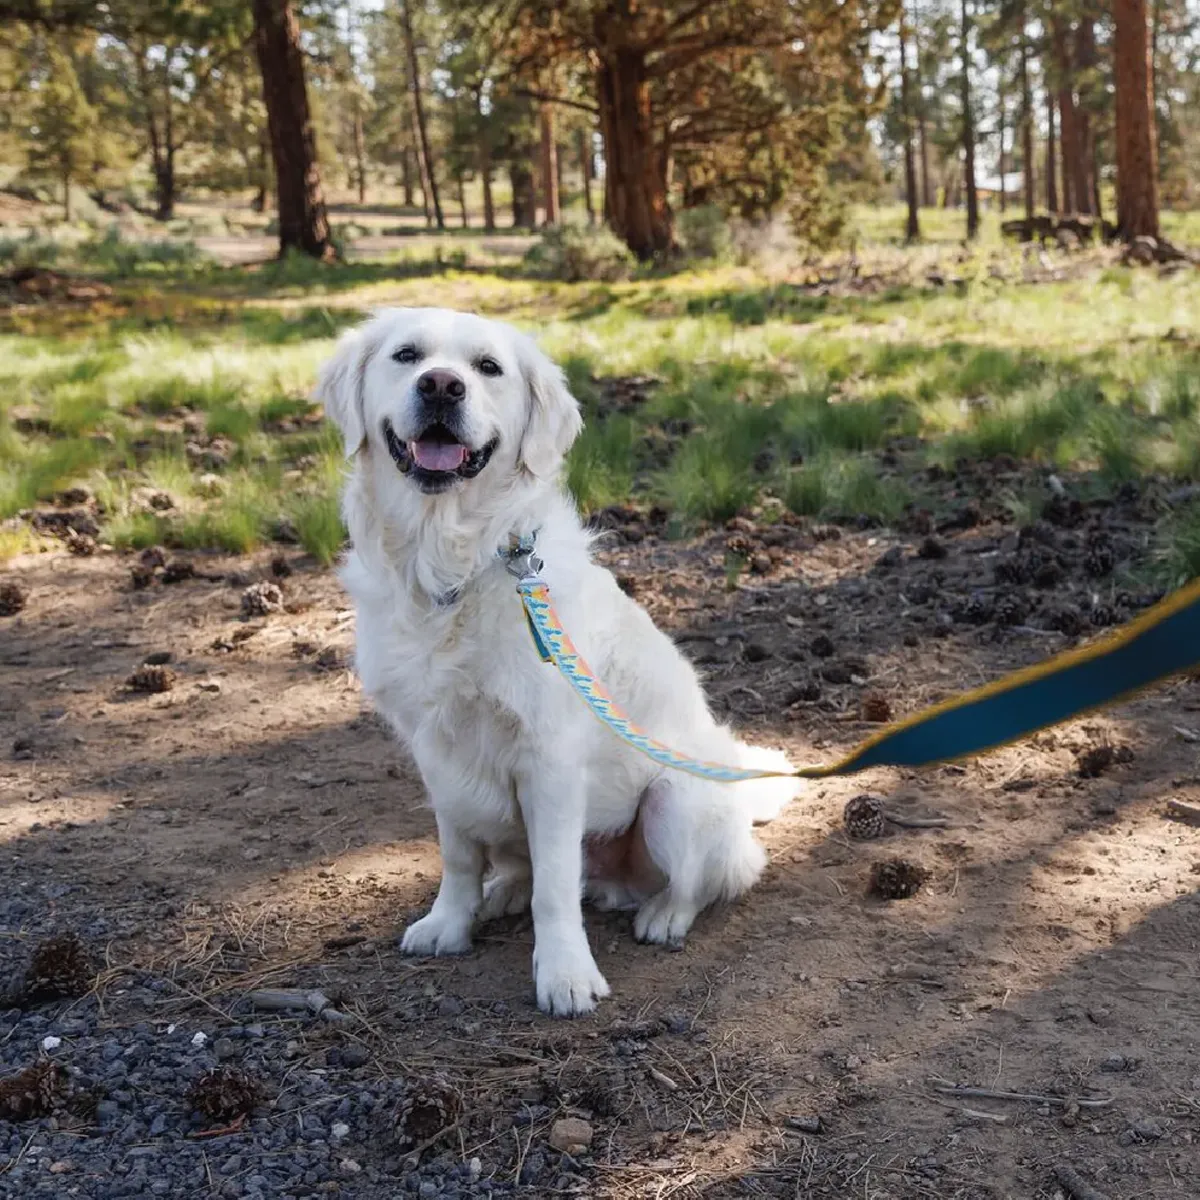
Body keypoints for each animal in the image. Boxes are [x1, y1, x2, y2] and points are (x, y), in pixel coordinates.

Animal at [316, 307, 796, 1012]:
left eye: (487, 367)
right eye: (407, 356)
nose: (440, 387)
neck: (453, 562)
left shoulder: (551, 758)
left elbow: (555, 888)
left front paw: (565, 974)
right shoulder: (436, 751)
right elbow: (459, 856)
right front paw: (449, 923)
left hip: (674, 800)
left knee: (698, 881)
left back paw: (663, 916)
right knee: (522, 865)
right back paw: (503, 892)